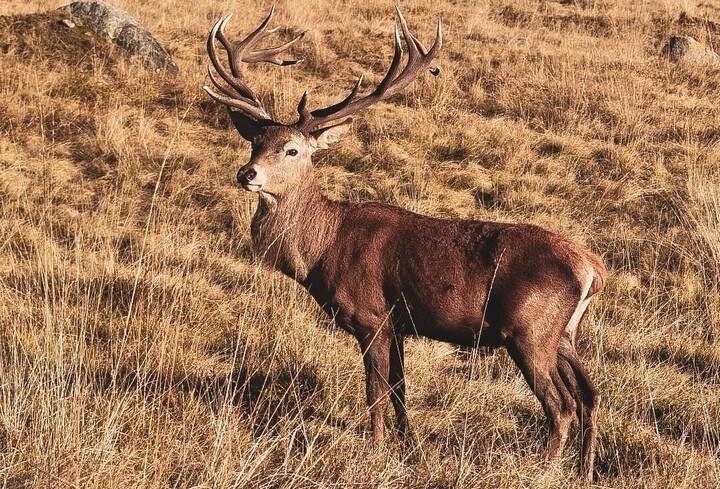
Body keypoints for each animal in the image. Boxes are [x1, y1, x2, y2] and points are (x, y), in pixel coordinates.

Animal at [203, 7, 607, 482]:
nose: (247, 174)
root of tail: (592, 268)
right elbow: (399, 389)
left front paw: (374, 450)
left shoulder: (371, 315)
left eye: (293, 150)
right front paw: (407, 444)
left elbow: (375, 390)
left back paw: (543, 470)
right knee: (589, 394)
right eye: (255, 141)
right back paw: (584, 470)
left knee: (560, 405)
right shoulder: (400, 323)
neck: (323, 249)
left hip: (530, 329)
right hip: (564, 333)